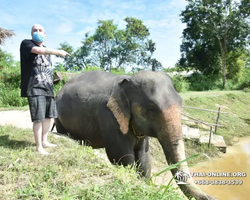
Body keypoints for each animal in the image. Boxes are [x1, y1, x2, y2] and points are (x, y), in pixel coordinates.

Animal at [55, 69, 215, 199]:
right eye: (152, 109)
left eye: (181, 103)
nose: (213, 197)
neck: (125, 82)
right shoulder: (109, 117)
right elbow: (121, 156)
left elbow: (144, 158)